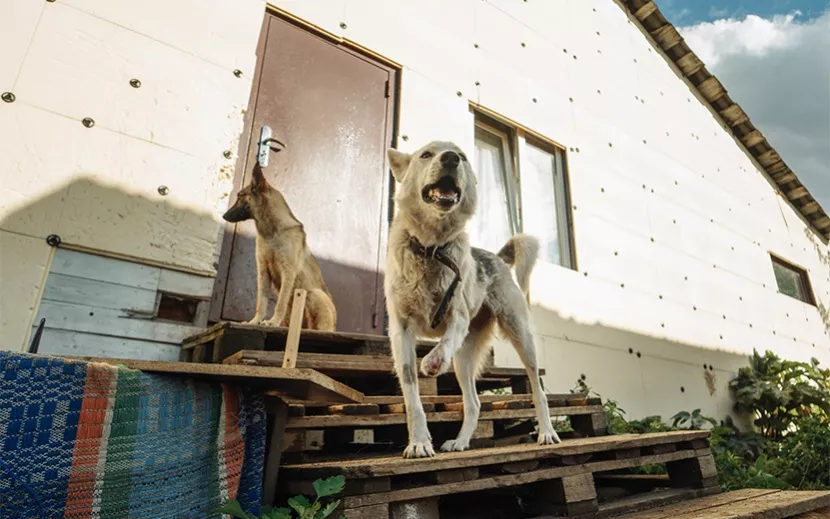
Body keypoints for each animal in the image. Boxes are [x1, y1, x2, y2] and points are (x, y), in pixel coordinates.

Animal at [224, 165, 338, 332]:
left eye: (240, 196)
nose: (224, 216)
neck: (271, 233)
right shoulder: (263, 272)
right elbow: (261, 302)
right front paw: (254, 322)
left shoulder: (288, 272)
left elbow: (280, 303)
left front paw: (272, 322)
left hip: (315, 295)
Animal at [386, 139, 564, 460]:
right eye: (425, 154)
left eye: (463, 156)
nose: (451, 158)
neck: (432, 248)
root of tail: (498, 257)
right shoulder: (401, 332)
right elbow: (412, 396)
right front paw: (419, 443)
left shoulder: (457, 317)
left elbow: (444, 341)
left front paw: (433, 361)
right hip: (464, 359)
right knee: (474, 402)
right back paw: (460, 441)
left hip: (520, 337)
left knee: (538, 389)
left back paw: (546, 433)